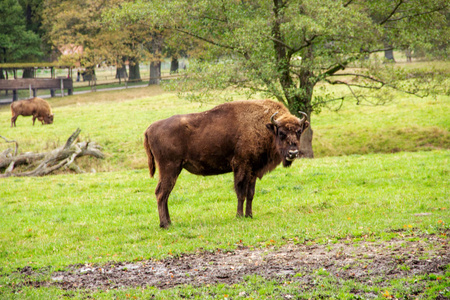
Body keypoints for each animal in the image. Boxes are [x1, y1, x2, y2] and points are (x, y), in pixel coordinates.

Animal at [144, 98, 310, 227]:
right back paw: (165, 224)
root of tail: (150, 128)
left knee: (165, 194)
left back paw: (169, 222)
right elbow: (241, 192)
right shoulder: (241, 167)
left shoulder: (253, 170)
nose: (293, 153)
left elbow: (250, 194)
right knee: (161, 193)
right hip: (170, 168)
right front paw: (239, 216)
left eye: (298, 131)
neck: (264, 126)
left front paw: (249, 215)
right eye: (281, 133)